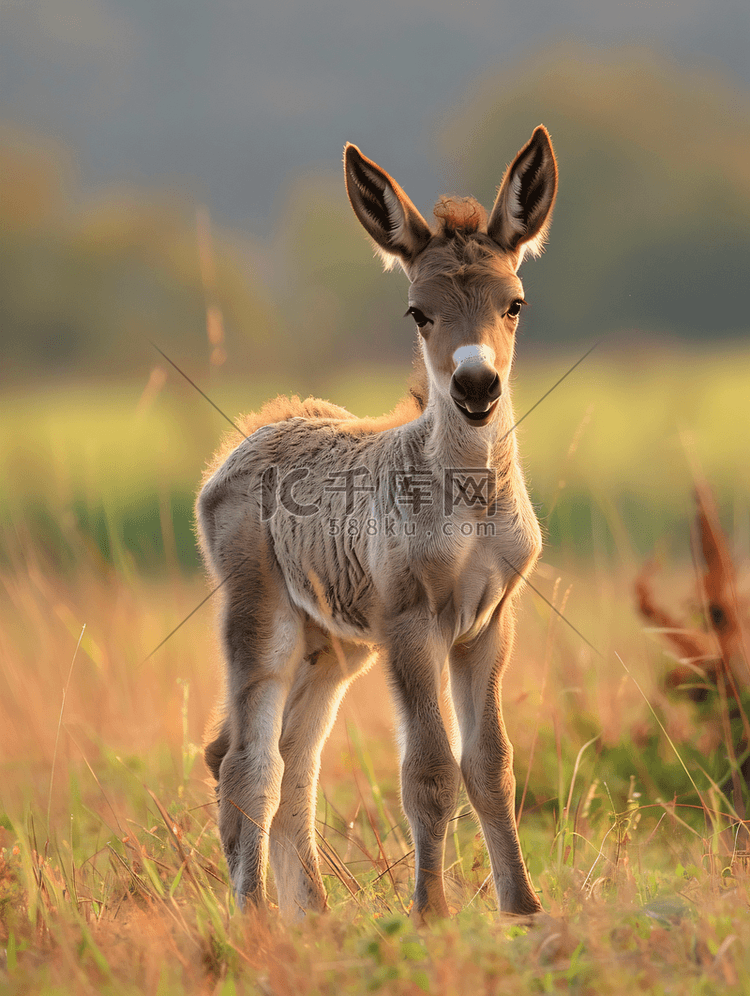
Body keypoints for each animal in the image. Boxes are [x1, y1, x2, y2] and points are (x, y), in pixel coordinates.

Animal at [197, 126, 560, 924]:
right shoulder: (408, 619)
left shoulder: (490, 623)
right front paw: (430, 911)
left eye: (515, 304)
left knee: (287, 762)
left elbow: (491, 765)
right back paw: (255, 918)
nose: (477, 385)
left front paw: (523, 908)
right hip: (262, 619)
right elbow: (428, 768)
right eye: (418, 312)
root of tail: (256, 433)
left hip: (332, 645)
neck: (468, 503)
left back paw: (313, 918)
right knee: (249, 763)